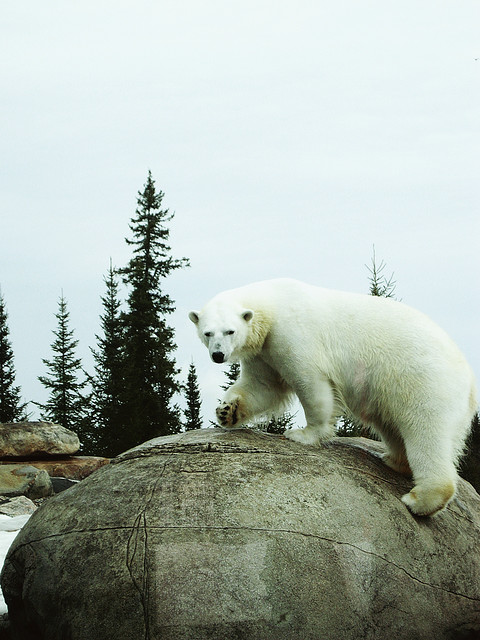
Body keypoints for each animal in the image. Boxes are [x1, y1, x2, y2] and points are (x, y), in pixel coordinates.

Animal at [189, 278, 478, 516]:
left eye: (230, 331)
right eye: (207, 332)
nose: (218, 355)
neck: (272, 305)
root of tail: (470, 383)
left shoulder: (292, 334)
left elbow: (310, 382)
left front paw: (303, 434)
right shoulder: (265, 349)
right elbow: (262, 386)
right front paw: (226, 410)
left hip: (425, 382)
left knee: (426, 431)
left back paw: (419, 499)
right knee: (394, 426)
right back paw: (394, 460)